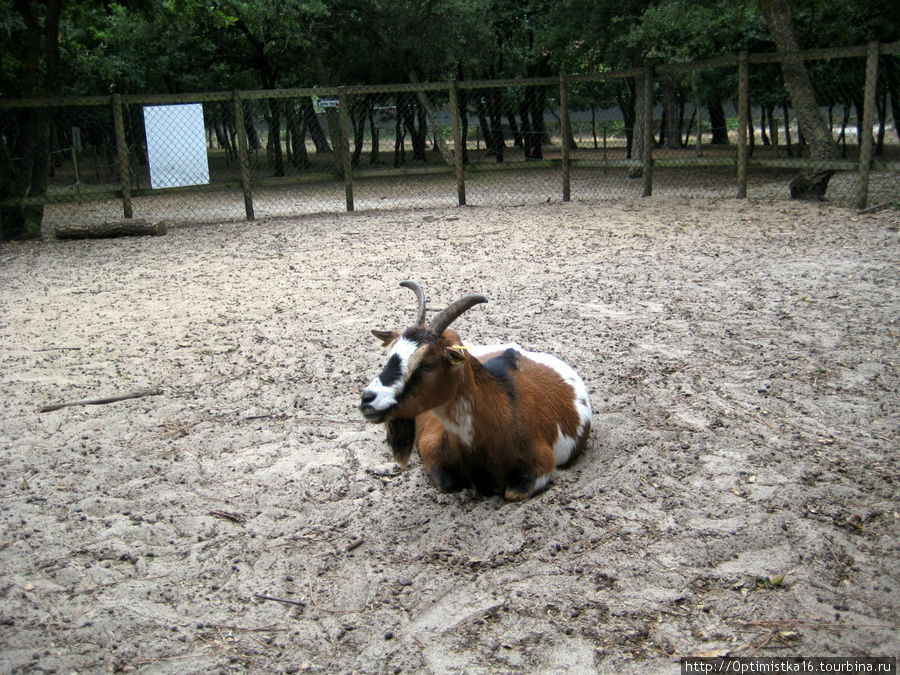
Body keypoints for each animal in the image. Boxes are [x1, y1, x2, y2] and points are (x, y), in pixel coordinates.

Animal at [358, 282, 592, 502]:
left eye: (428, 364)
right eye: (391, 355)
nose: (367, 400)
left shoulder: (542, 465)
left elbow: (512, 492)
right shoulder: (431, 449)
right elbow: (448, 485)